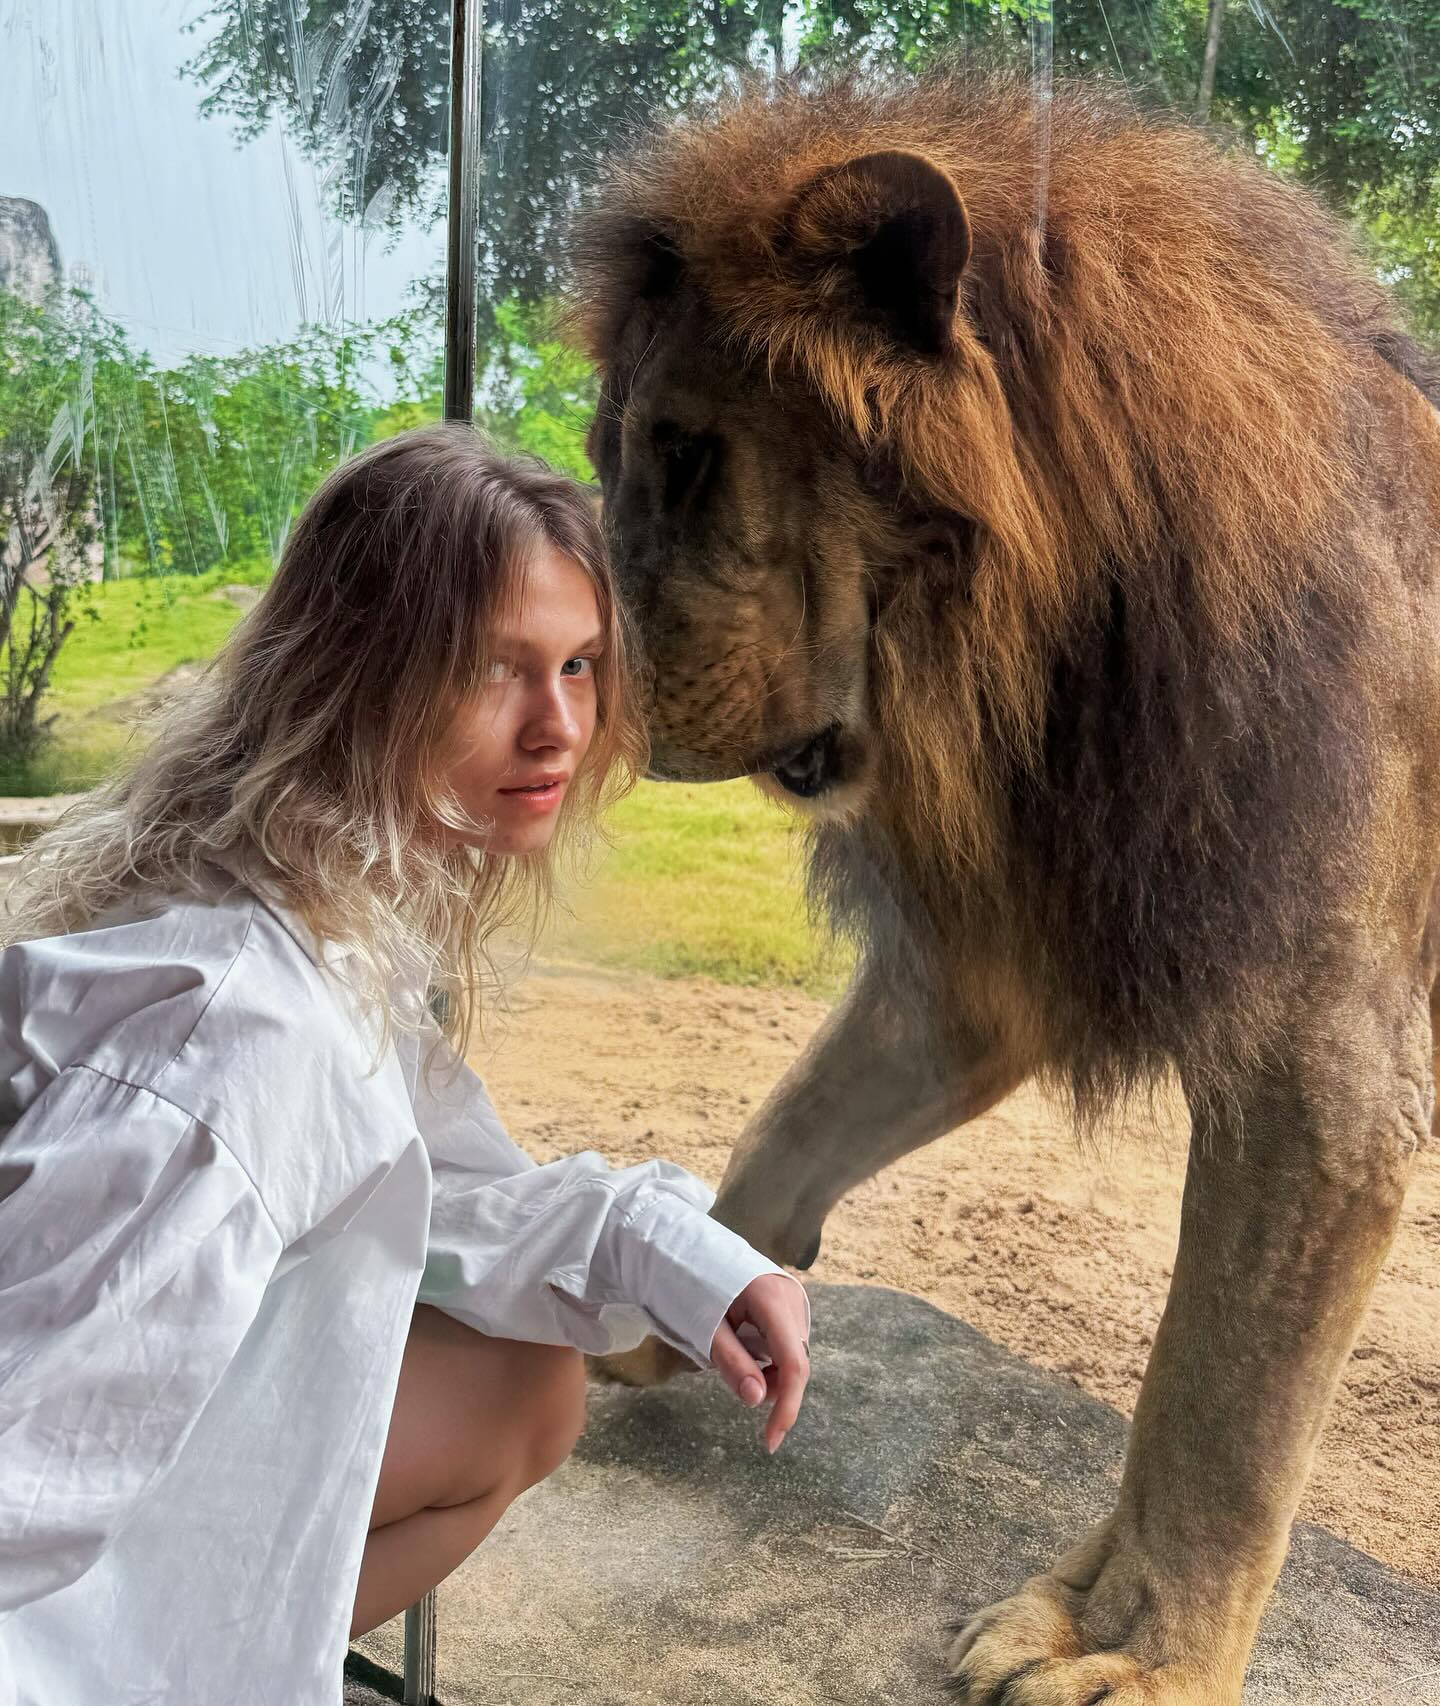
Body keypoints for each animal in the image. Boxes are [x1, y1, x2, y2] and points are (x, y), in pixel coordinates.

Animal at [566, 66, 1440, 1706]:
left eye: (687, 451)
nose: (608, 702)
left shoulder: (1322, 1073)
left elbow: (1220, 1405)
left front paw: (1138, 1654)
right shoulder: (993, 962)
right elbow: (796, 1122)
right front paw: (696, 1293)